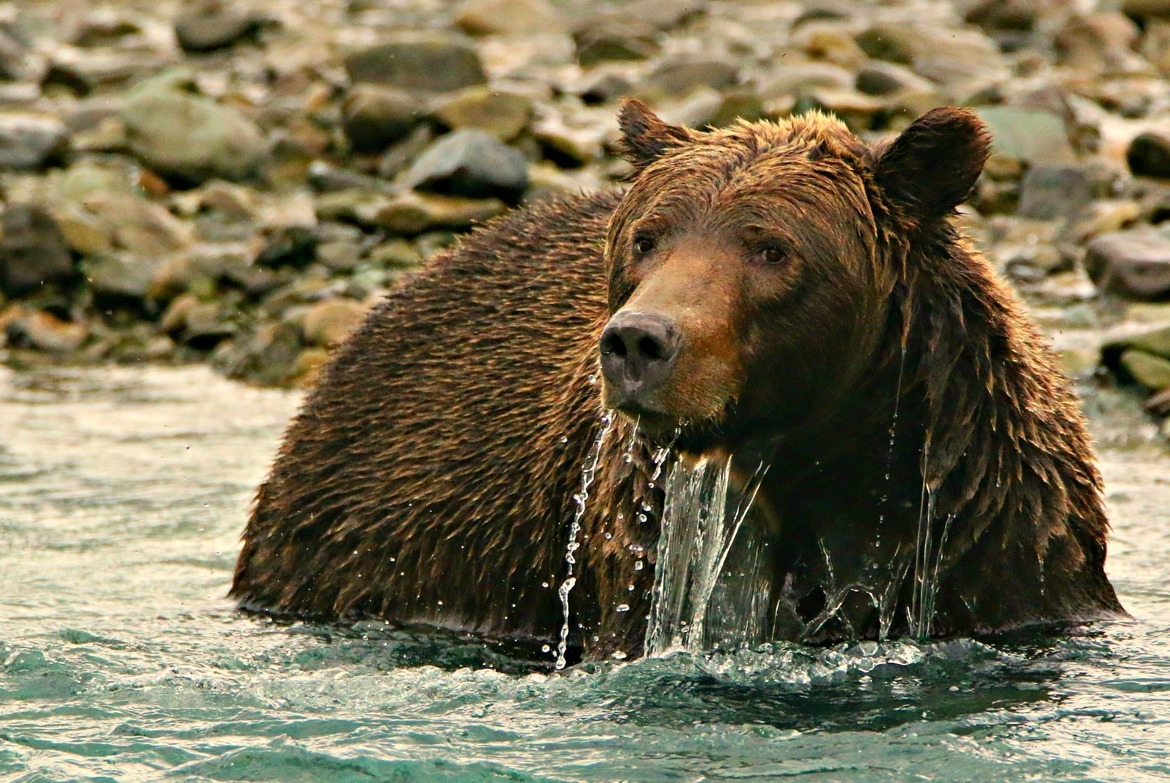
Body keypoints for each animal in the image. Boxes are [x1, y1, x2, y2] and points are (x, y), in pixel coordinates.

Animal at [231, 101, 1125, 664]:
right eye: (648, 237)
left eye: (771, 247)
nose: (638, 341)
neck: (828, 453)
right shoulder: (639, 538)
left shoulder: (1001, 537)